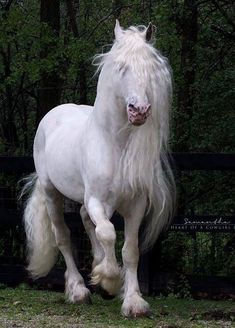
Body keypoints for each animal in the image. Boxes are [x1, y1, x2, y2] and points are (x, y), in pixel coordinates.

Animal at [21, 21, 174, 318]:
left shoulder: (136, 204)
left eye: (150, 68)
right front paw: (110, 281)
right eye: (121, 67)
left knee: (84, 219)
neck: (113, 143)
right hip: (51, 192)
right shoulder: (96, 200)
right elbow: (107, 233)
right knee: (63, 236)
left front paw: (133, 301)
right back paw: (79, 290)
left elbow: (130, 250)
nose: (140, 110)